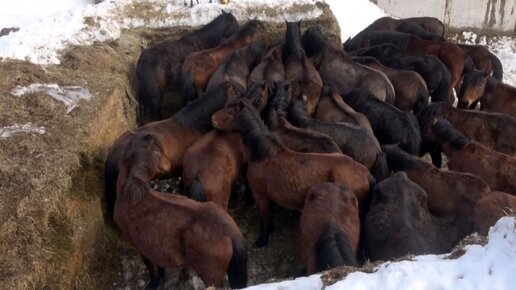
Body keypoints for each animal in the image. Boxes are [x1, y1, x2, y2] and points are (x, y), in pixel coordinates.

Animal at [114, 133, 248, 288]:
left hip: (211, 279)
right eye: (159, 151)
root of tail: (231, 232)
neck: (132, 194)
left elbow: (152, 268)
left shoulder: (141, 248)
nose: (169, 164)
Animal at [212, 99, 372, 247]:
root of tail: (366, 173)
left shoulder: (260, 196)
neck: (264, 154)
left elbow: (265, 217)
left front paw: (262, 240)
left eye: (230, 113)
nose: (212, 119)